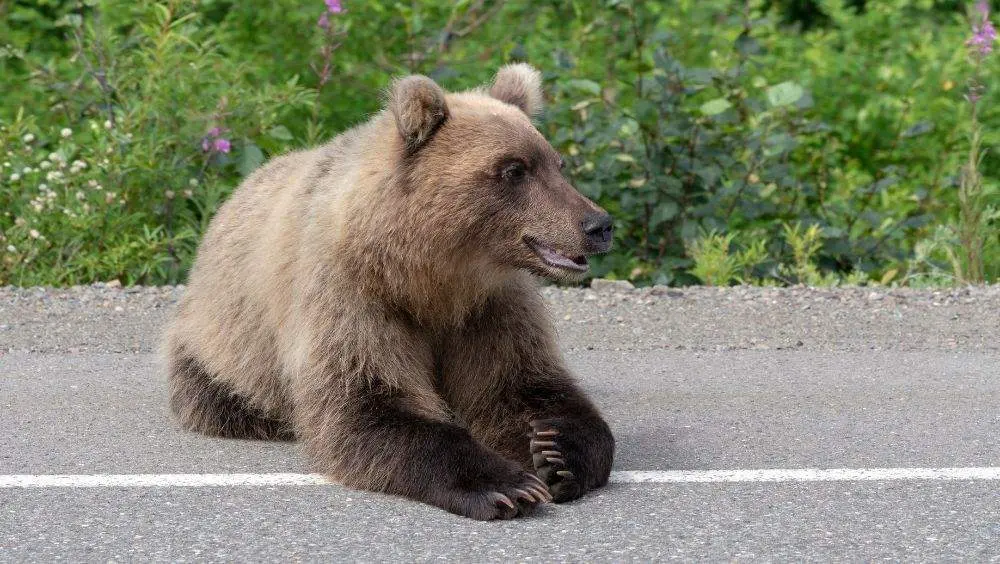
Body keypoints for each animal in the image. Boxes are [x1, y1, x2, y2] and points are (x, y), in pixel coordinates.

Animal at [164, 63, 615, 520]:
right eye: (514, 169)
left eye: (556, 164)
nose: (598, 224)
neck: (429, 278)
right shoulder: (353, 296)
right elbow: (368, 403)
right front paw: (506, 484)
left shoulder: (490, 308)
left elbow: (523, 383)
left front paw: (555, 453)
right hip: (223, 341)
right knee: (220, 393)